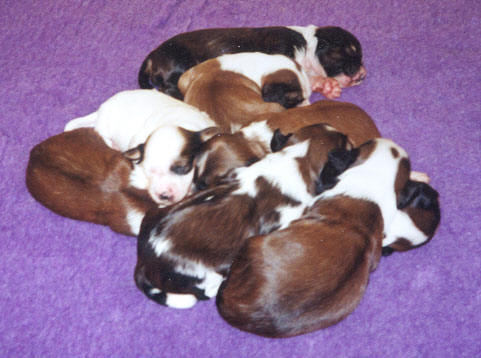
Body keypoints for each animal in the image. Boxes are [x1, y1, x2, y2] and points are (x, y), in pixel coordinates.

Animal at [138, 25, 364, 99]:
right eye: (350, 52)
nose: (363, 74)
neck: (307, 43)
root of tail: (151, 56)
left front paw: (328, 86)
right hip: (177, 68)